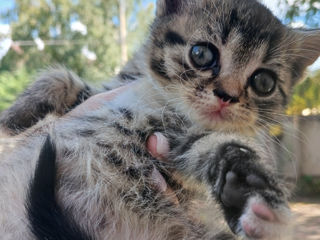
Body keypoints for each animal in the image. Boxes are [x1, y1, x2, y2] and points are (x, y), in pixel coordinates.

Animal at [0, 0, 320, 239]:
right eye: (201, 53)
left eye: (263, 82)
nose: (226, 96)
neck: (162, 98)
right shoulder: (113, 86)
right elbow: (63, 79)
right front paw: (14, 117)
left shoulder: (180, 144)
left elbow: (220, 147)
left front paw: (248, 194)